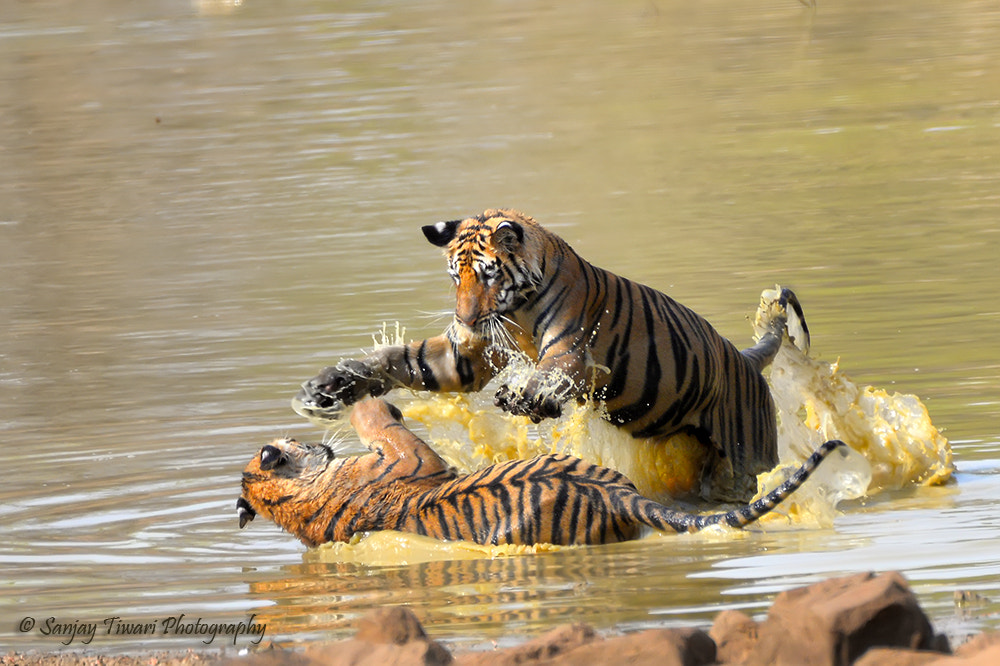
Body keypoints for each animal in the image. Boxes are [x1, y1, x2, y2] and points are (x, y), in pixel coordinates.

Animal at [292, 208, 808, 498]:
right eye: (456, 277)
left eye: (488, 274)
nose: (464, 321)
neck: (515, 310)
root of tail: (743, 358)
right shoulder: (466, 358)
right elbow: (401, 359)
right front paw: (326, 387)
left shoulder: (571, 353)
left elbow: (550, 373)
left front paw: (524, 396)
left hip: (746, 456)